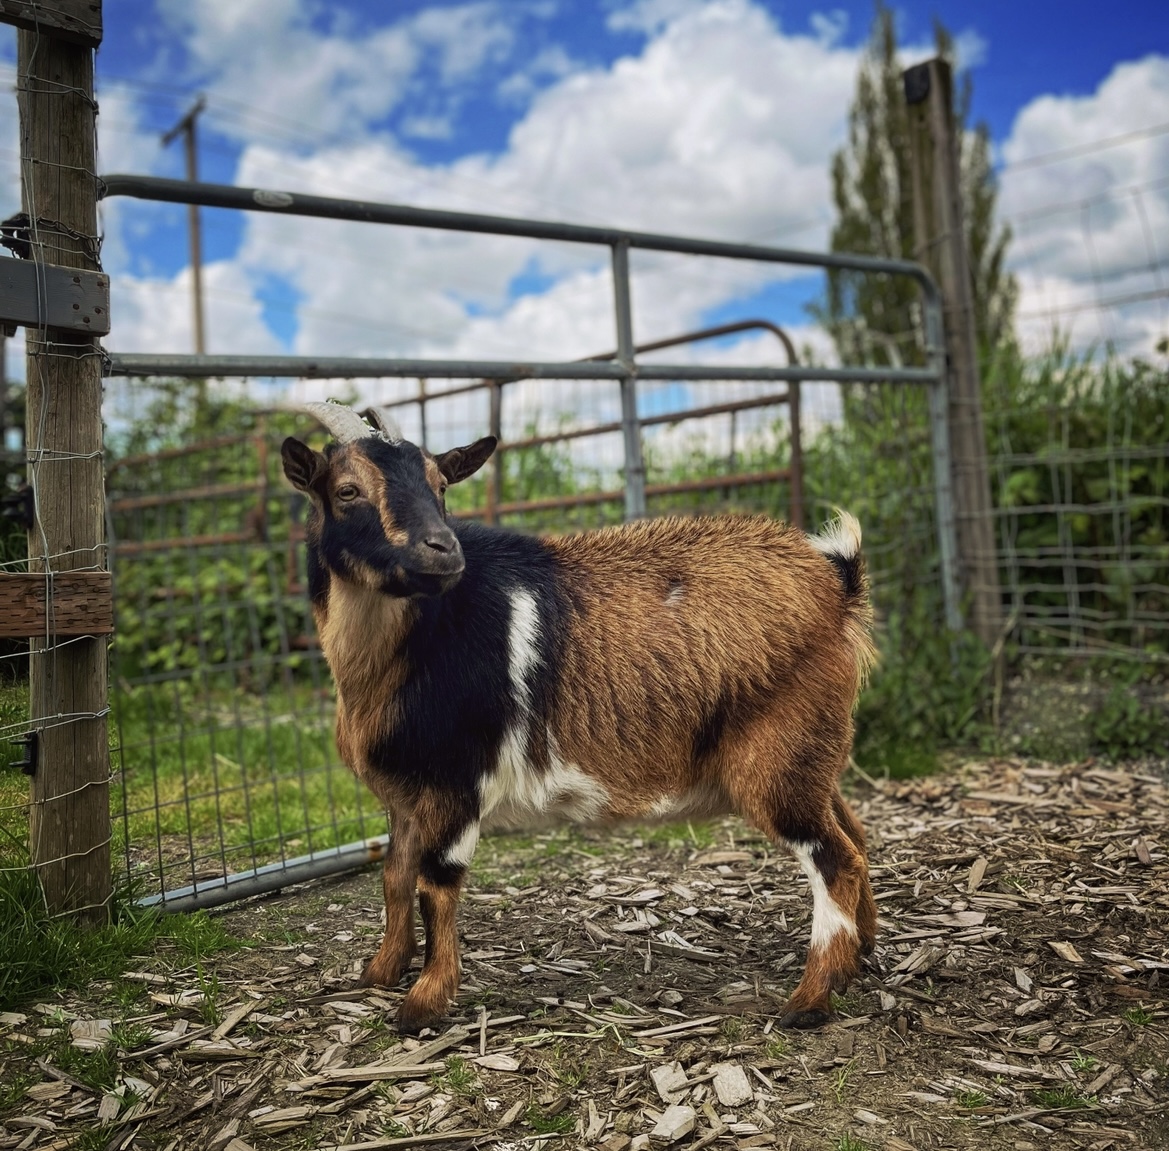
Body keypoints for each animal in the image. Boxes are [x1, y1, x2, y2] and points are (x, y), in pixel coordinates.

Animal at [282, 401, 878, 1033]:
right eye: (346, 490)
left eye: (441, 485)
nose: (442, 549)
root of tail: (835, 579)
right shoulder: (404, 795)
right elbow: (394, 875)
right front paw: (379, 972)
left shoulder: (457, 781)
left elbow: (435, 882)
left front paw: (422, 1003)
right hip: (813, 752)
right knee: (857, 835)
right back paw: (860, 954)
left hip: (778, 758)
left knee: (836, 859)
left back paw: (810, 1000)